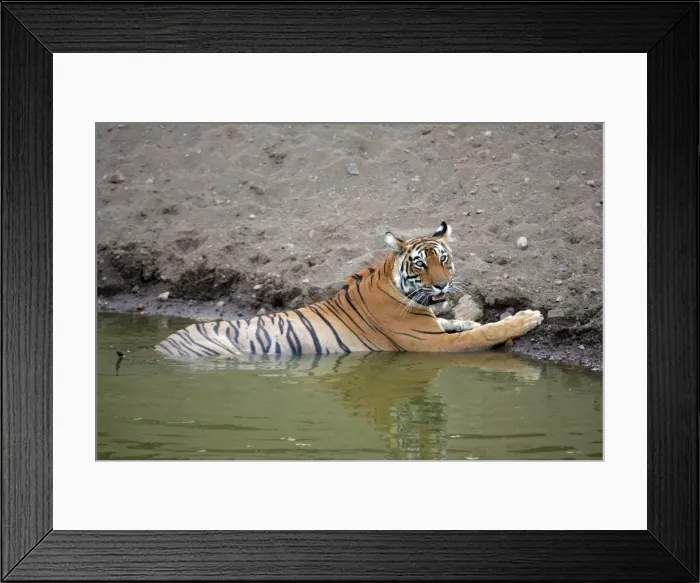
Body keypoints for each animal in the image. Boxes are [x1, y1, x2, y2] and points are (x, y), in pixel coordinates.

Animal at [155, 221, 543, 359]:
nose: (442, 284)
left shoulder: (431, 323)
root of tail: (160, 346)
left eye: (444, 259)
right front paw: (526, 317)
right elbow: (481, 334)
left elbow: (456, 322)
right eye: (421, 264)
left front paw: (473, 321)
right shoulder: (428, 342)